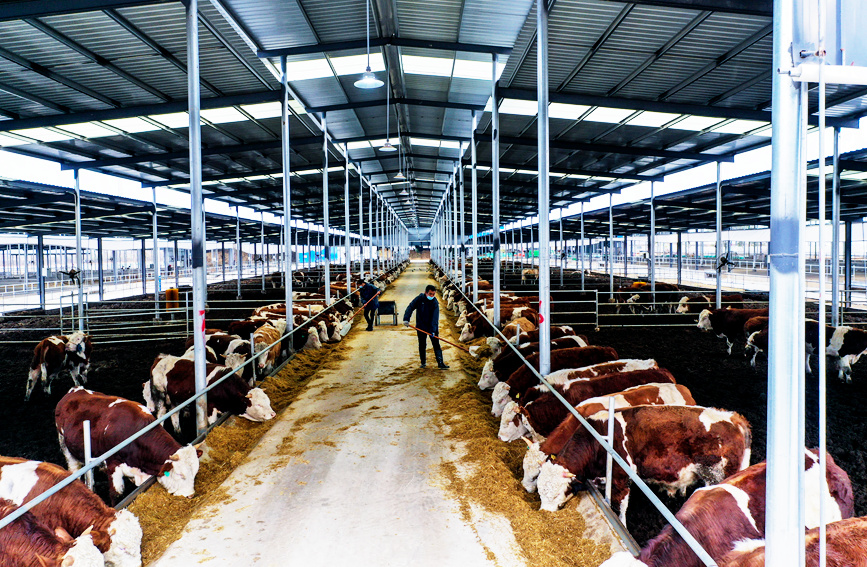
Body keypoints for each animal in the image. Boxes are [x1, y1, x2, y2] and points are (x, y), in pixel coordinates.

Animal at [54, 388, 202, 504]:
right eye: (179, 474)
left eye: (195, 472)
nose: (191, 495)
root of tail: (74, 390)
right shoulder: (113, 467)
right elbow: (117, 496)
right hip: (66, 448)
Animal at [536, 404, 752, 524]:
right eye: (539, 491)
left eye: (556, 493)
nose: (544, 513)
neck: (597, 439)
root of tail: (734, 418)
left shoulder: (620, 478)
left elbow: (620, 507)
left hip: (716, 475)